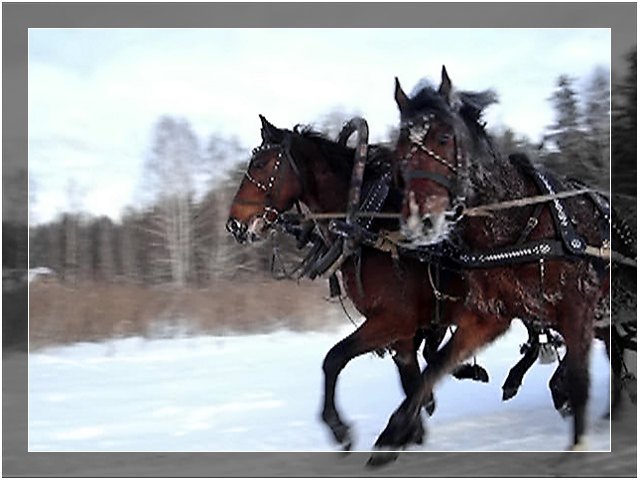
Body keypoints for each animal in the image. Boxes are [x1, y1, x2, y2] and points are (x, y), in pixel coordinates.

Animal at [225, 115, 490, 450]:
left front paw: (339, 427)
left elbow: (334, 358)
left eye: (260, 164)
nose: (233, 224)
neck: (370, 226)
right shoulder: (404, 331)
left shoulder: (395, 319)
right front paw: (412, 430)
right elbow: (410, 376)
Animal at [370, 67, 616, 462]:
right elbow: (435, 366)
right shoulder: (488, 317)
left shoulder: (578, 306)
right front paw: (396, 431)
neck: (517, 226)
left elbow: (579, 380)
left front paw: (577, 445)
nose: (421, 221)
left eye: (443, 137)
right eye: (400, 149)